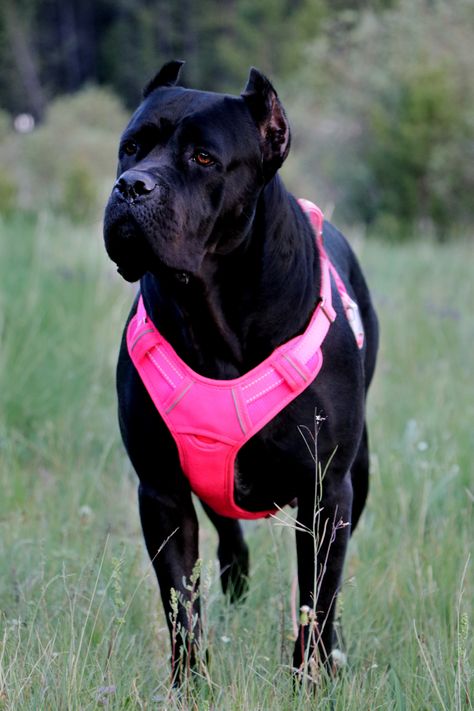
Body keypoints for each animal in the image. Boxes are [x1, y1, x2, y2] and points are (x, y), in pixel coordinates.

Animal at [103, 61, 378, 684]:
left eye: (204, 158)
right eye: (131, 147)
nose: (132, 186)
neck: (214, 313)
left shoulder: (328, 492)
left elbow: (317, 599)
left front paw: (312, 680)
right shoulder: (162, 490)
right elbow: (181, 604)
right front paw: (189, 685)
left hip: (358, 475)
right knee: (228, 536)